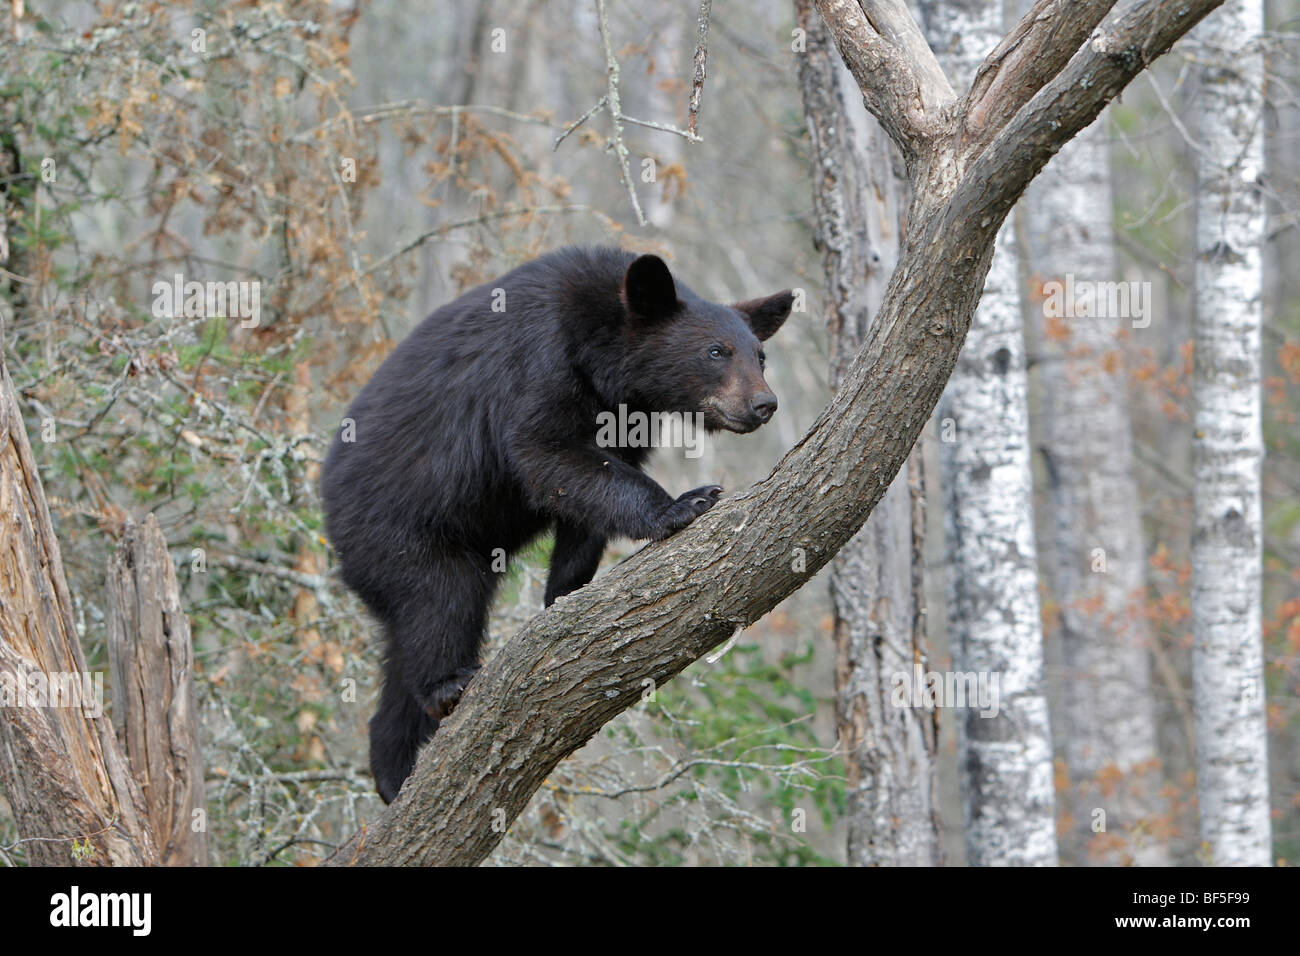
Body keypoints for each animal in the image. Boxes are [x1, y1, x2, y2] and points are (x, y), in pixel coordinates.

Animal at [325, 244, 790, 801]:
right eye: (716, 352)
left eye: (760, 356)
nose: (764, 404)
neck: (599, 347)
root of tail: (328, 509)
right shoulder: (539, 361)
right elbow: (547, 452)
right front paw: (684, 502)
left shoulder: (625, 413)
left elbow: (590, 499)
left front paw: (564, 593)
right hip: (398, 533)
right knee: (443, 599)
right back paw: (447, 688)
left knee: (405, 648)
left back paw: (394, 772)